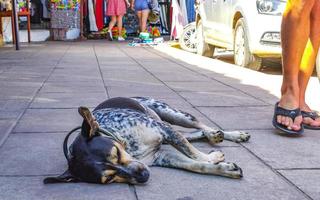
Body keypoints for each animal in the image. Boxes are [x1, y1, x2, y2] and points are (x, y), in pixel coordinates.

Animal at [43, 97, 250, 184]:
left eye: (115, 153)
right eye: (108, 178)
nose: (143, 175)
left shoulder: (163, 129)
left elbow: (193, 153)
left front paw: (210, 157)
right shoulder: (162, 157)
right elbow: (195, 165)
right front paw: (223, 168)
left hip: (171, 114)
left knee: (198, 124)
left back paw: (225, 134)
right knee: (192, 134)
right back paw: (211, 136)